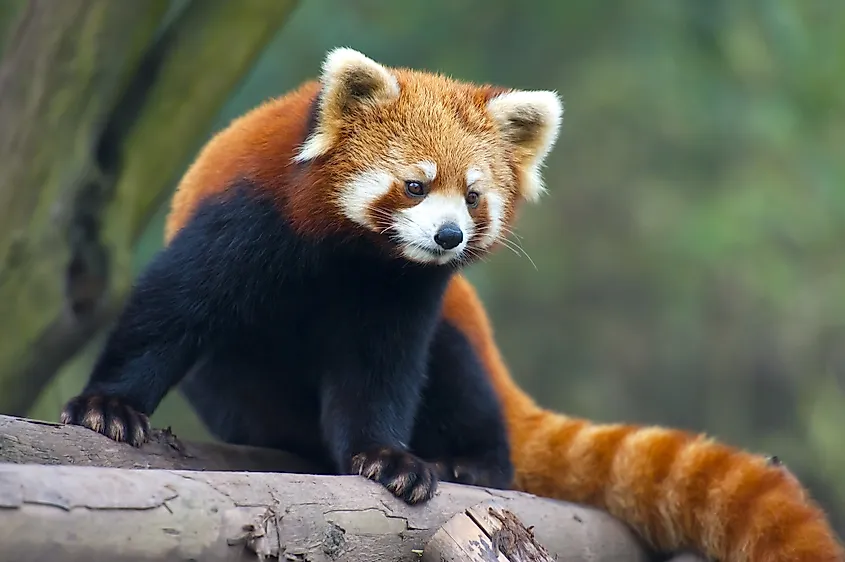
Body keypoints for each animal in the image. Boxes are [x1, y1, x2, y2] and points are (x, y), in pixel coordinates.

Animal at [59, 49, 836, 560]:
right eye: (413, 185)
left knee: (462, 378)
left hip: (465, 345)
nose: (448, 236)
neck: (353, 254)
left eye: (472, 195)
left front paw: (386, 457)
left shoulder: (404, 293)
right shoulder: (249, 218)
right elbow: (172, 311)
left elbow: (382, 369)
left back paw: (475, 460)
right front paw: (110, 407)